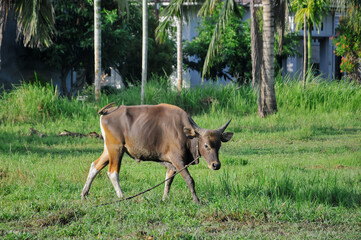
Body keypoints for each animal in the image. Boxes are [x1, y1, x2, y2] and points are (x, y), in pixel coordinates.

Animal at [80, 102, 232, 202]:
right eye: (206, 145)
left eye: (218, 145)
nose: (216, 165)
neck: (185, 134)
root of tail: (107, 112)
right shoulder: (178, 160)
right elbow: (189, 179)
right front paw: (197, 200)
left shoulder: (172, 164)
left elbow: (168, 180)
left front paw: (164, 199)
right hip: (116, 148)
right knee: (112, 172)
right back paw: (122, 196)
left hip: (109, 149)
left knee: (95, 166)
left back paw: (84, 193)